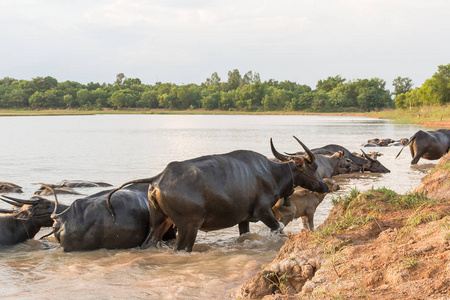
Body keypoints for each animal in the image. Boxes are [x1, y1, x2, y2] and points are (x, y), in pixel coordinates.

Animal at [107, 137, 328, 252]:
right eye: (314, 166)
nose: (324, 186)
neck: (272, 173)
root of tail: (157, 178)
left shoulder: (243, 219)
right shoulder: (264, 212)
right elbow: (279, 229)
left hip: (160, 222)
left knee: (149, 242)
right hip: (189, 226)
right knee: (182, 248)